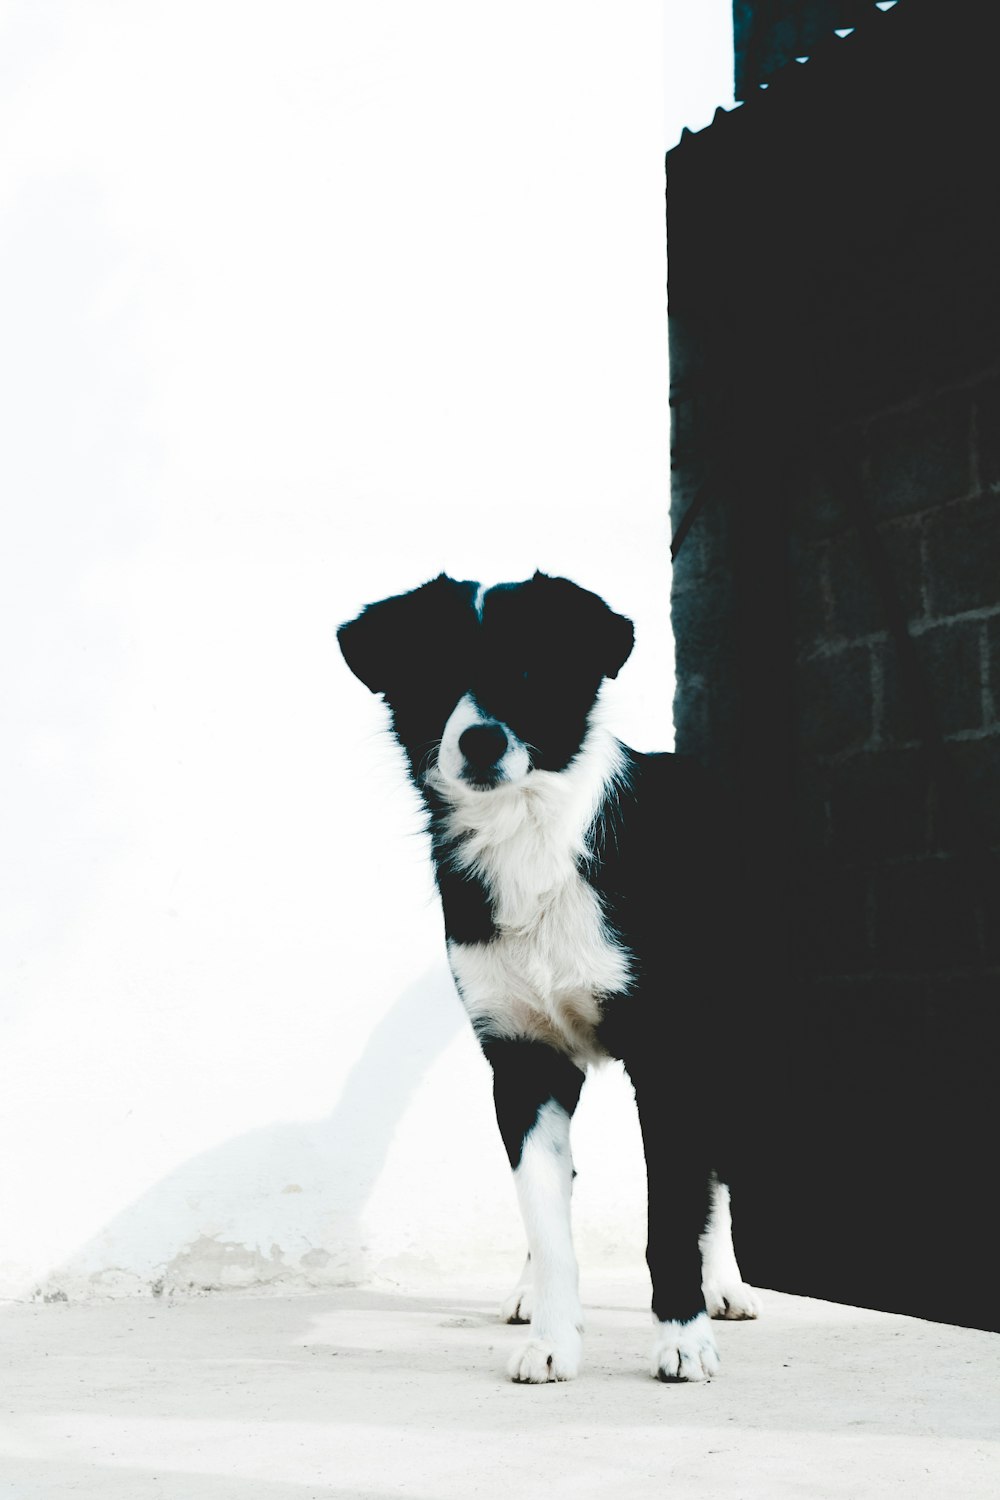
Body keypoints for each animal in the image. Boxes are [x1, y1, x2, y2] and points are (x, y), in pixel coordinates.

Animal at [335, 570, 758, 1380]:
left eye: (531, 672)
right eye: (435, 672)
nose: (481, 739)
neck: (528, 836)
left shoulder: (666, 1052)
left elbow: (673, 1209)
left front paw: (683, 1336)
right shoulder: (522, 1060)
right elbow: (545, 1212)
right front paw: (555, 1338)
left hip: (722, 1032)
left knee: (714, 1168)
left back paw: (724, 1283)